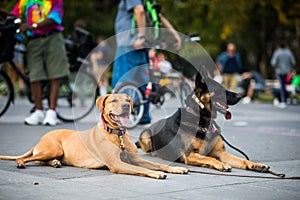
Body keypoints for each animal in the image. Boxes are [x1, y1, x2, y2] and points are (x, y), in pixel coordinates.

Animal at [0, 94, 188, 179]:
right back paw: (22, 163)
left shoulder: (136, 158)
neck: (117, 135)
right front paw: (156, 173)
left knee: (40, 160)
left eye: (127, 99)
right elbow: (143, 169)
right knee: (31, 158)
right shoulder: (116, 163)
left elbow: (157, 164)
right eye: (113, 100)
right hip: (53, 148)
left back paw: (54, 163)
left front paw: (175, 169)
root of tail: (41, 139)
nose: (127, 106)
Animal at [138, 70, 270, 172]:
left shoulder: (222, 153)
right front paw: (221, 164)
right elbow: (210, 158)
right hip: (145, 135)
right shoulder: (190, 155)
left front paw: (256, 165)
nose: (240, 96)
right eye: (220, 89)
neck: (202, 118)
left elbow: (241, 160)